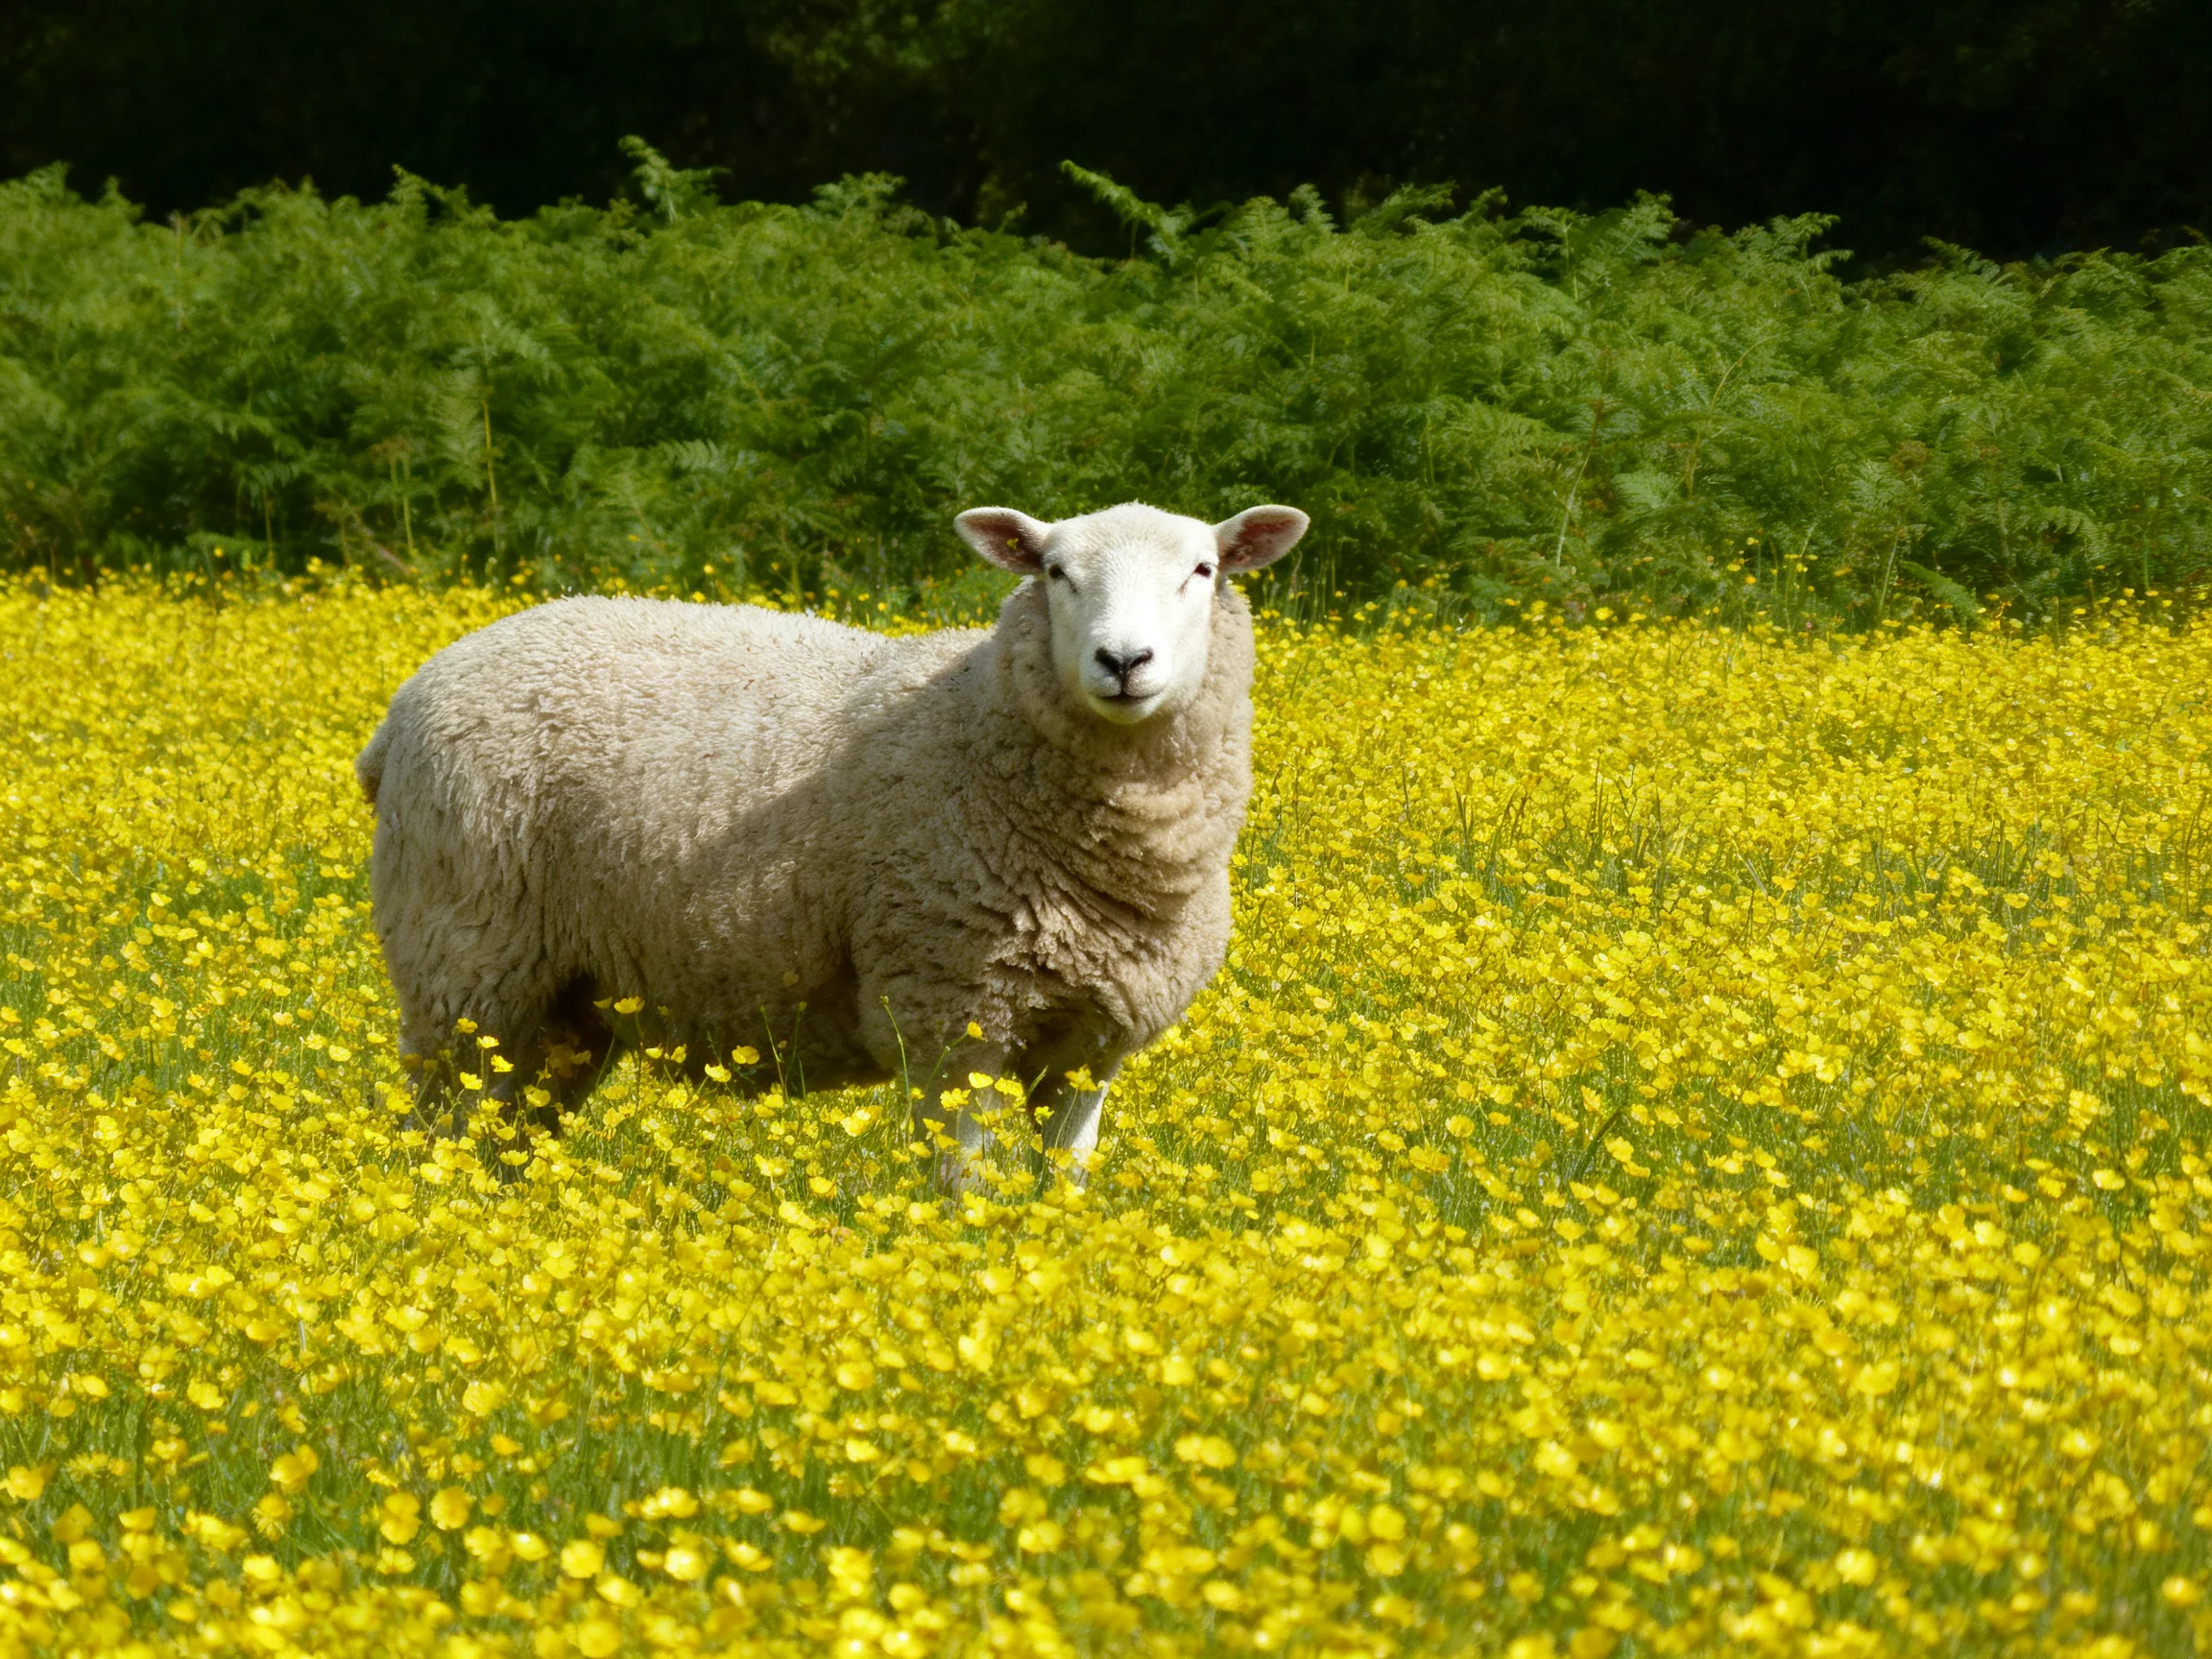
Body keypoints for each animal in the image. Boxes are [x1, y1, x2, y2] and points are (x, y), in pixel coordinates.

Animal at [354, 500, 1308, 1186]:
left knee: (508, 1133)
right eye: (1055, 571)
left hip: (566, 1000)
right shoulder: (950, 1014)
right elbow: (964, 1186)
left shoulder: (1094, 1041)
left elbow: (1061, 1183)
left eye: (1203, 570)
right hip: (463, 962)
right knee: (437, 1127)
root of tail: (404, 706)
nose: (1124, 661)